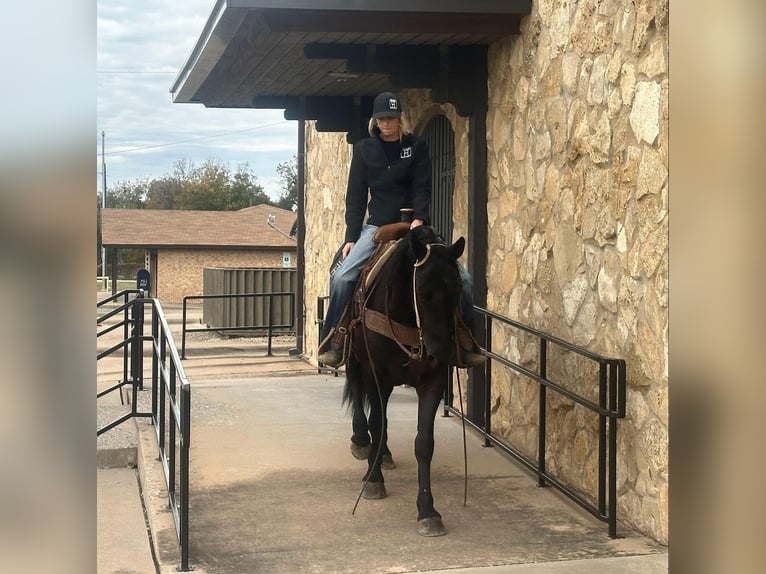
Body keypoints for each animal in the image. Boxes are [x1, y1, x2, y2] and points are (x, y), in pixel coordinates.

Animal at [344, 223, 464, 536]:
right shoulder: (376, 375)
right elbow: (376, 422)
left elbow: (424, 443)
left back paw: (383, 454)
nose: (441, 353)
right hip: (355, 361)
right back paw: (362, 442)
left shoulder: (432, 382)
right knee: (363, 401)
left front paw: (427, 510)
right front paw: (373, 480)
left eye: (458, 290)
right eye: (423, 293)